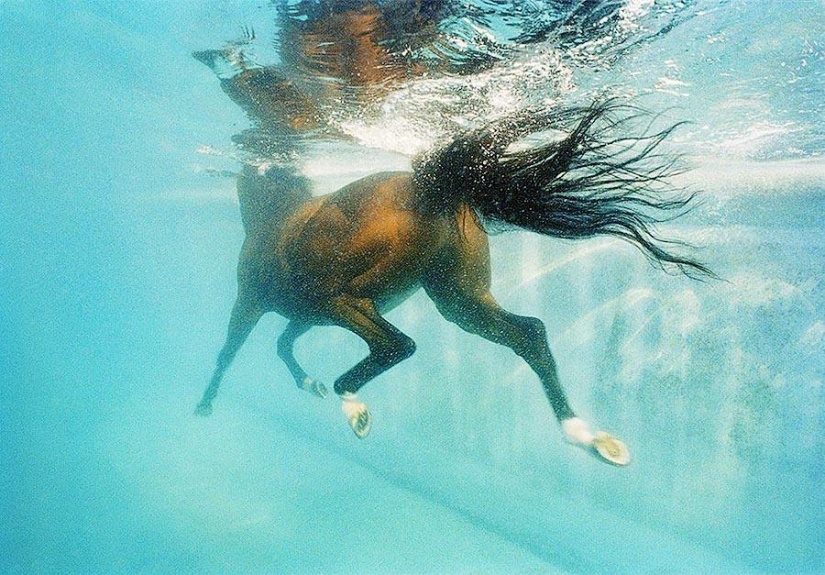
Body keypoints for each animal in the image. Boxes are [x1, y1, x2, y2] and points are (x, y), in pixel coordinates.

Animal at [194, 100, 714, 467]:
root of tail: (432, 186)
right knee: (529, 333)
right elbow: (283, 344)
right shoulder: (299, 316)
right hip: (458, 299)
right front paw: (308, 384)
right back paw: (588, 438)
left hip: (338, 298)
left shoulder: (251, 304)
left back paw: (354, 408)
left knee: (397, 344)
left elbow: (228, 352)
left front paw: (204, 405)